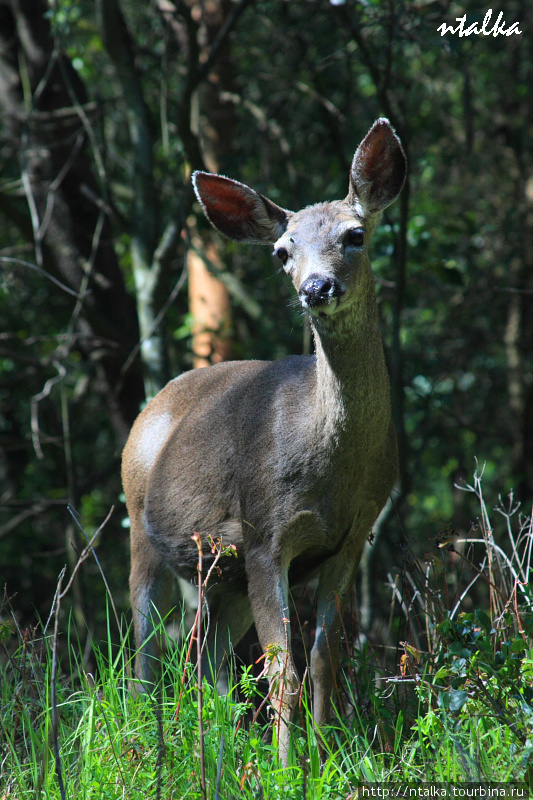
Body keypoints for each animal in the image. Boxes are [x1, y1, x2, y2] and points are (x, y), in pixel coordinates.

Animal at [122, 117, 406, 764]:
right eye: (282, 252)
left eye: (355, 234)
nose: (316, 287)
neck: (336, 469)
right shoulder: (263, 533)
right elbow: (282, 671)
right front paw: (286, 767)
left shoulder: (351, 537)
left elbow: (323, 660)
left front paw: (326, 755)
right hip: (142, 535)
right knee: (146, 655)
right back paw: (152, 748)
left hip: (218, 577)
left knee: (204, 657)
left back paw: (218, 752)